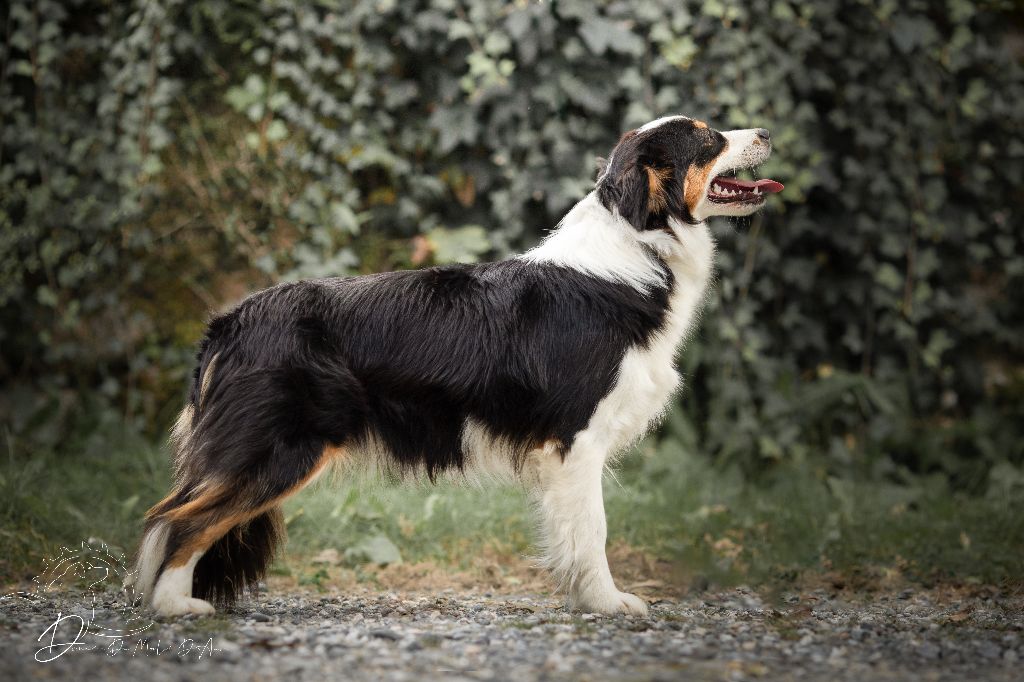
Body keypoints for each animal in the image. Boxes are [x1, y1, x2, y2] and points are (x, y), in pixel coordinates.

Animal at [132, 115, 778, 614]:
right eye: (707, 138)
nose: (768, 132)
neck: (638, 243)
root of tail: (231, 319)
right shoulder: (577, 440)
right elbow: (593, 531)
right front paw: (607, 603)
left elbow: (571, 535)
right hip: (280, 448)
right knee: (178, 519)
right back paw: (174, 607)